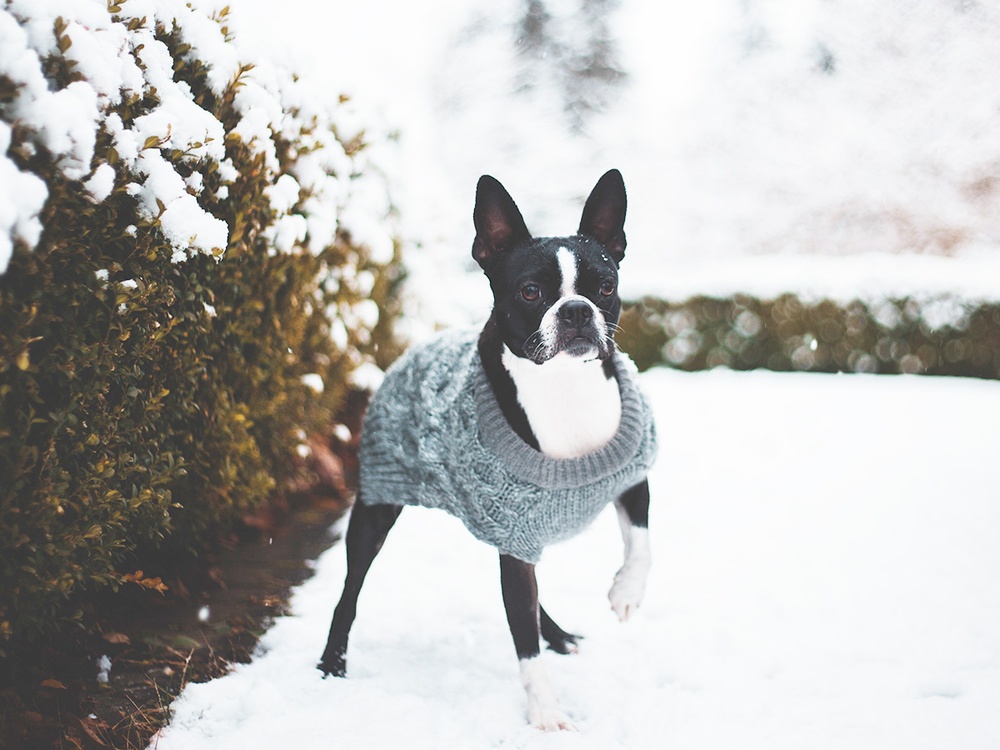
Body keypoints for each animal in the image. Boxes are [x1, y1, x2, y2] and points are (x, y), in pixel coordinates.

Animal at [320, 172, 660, 736]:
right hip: (377, 507)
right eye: (530, 291)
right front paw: (545, 710)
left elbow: (642, 544)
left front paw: (626, 593)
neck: (562, 386)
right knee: (350, 589)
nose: (576, 310)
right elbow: (523, 645)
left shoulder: (631, 474)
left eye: (606, 287)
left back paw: (559, 634)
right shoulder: (514, 533)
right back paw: (332, 661)